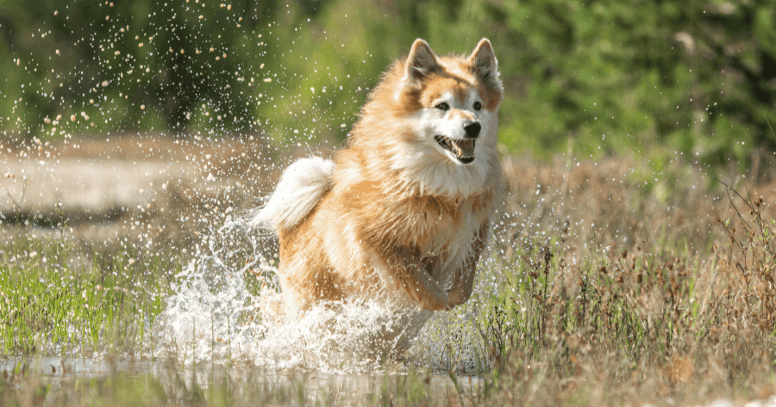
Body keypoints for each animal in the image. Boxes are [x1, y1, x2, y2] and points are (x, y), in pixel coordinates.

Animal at [249, 38, 504, 344]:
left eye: (477, 105)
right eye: (442, 106)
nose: (473, 127)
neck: (435, 186)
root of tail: (290, 232)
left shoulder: (474, 231)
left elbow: (465, 283)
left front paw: (452, 297)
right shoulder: (375, 241)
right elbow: (422, 284)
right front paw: (437, 300)